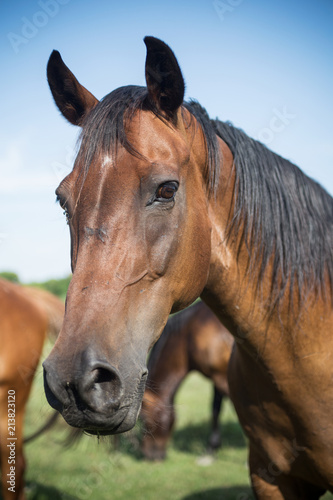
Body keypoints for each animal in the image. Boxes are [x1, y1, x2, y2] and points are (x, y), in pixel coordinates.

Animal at [140, 300, 231, 460]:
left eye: (144, 418)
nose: (150, 455)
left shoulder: (224, 378)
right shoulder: (217, 377)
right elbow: (215, 409)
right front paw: (212, 447)